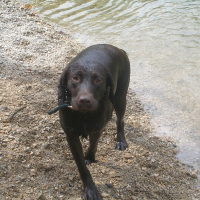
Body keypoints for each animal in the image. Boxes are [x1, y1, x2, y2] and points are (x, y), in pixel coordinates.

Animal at [58, 44, 130, 199]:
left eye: (98, 80)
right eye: (75, 78)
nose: (85, 100)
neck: (83, 115)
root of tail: (118, 49)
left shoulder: (97, 129)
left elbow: (93, 145)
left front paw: (90, 158)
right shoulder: (71, 136)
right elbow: (81, 166)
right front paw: (90, 189)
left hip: (120, 97)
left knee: (120, 121)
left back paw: (120, 141)